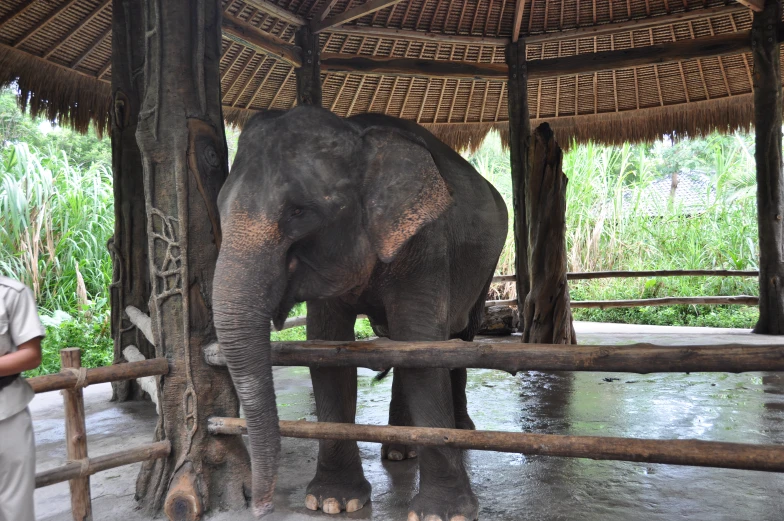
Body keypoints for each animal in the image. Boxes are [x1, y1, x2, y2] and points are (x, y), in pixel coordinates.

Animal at [213, 105, 508, 520]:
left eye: (298, 211)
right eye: (220, 208)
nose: (260, 506)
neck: (356, 131)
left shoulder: (426, 244)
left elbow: (423, 348)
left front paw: (442, 513)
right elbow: (327, 350)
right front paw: (332, 502)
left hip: (485, 270)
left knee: (459, 338)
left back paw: (461, 432)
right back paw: (400, 451)